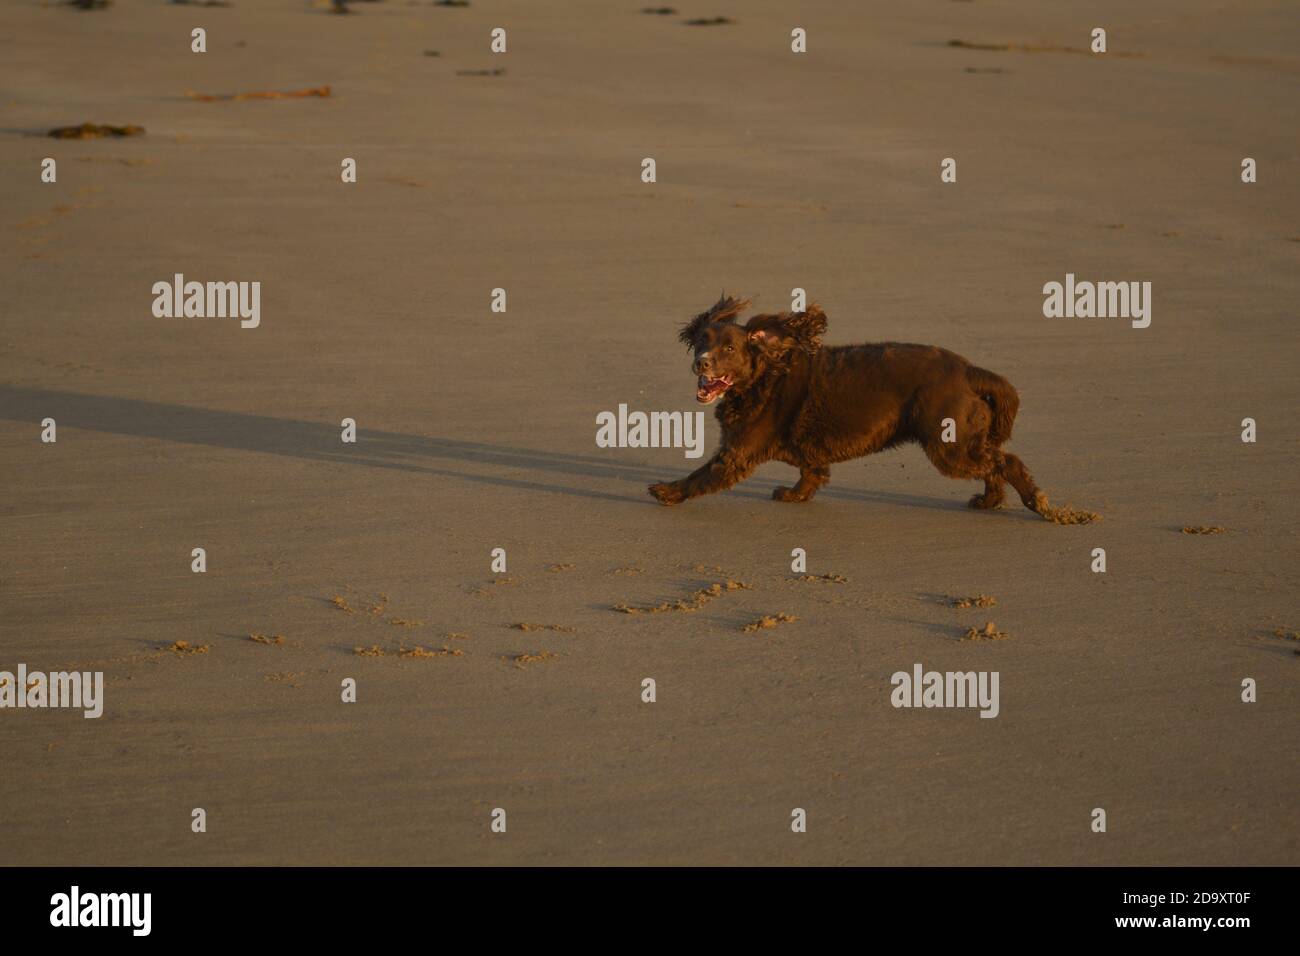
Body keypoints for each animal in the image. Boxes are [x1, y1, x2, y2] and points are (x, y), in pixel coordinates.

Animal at [650, 293, 1055, 520]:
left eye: (729, 348)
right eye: (701, 340)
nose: (701, 363)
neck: (766, 376)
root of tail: (968, 370)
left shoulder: (736, 452)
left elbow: (701, 475)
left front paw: (666, 491)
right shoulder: (806, 452)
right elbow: (813, 473)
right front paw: (794, 494)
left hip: (948, 444)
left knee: (1005, 461)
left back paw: (1039, 504)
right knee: (994, 463)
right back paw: (989, 501)